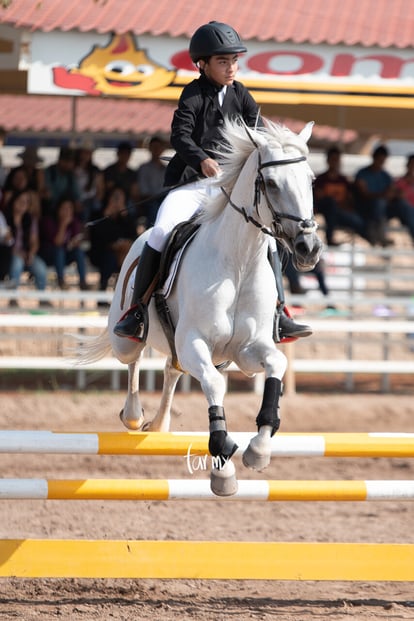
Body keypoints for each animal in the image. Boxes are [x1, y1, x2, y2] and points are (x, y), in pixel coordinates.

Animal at [79, 116, 322, 494]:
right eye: (270, 182)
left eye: (310, 179)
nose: (308, 248)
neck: (238, 262)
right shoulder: (196, 342)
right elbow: (214, 385)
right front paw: (223, 466)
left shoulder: (247, 350)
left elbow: (276, 365)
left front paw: (259, 449)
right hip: (127, 337)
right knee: (133, 359)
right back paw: (134, 416)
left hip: (184, 349)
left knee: (171, 370)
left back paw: (159, 425)